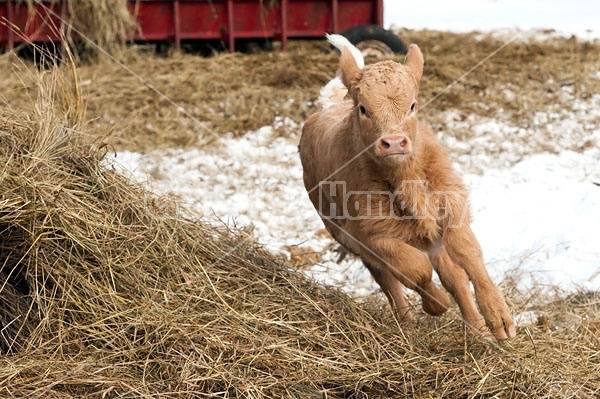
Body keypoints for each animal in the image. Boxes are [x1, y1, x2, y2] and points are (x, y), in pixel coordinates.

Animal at [300, 35, 516, 340]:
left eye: (413, 105)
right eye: (363, 108)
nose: (393, 142)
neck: (405, 178)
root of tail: (326, 108)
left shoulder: (451, 208)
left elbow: (467, 253)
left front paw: (498, 316)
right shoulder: (369, 235)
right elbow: (415, 269)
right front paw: (437, 304)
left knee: (452, 276)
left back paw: (478, 329)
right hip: (345, 234)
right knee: (389, 281)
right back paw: (409, 323)